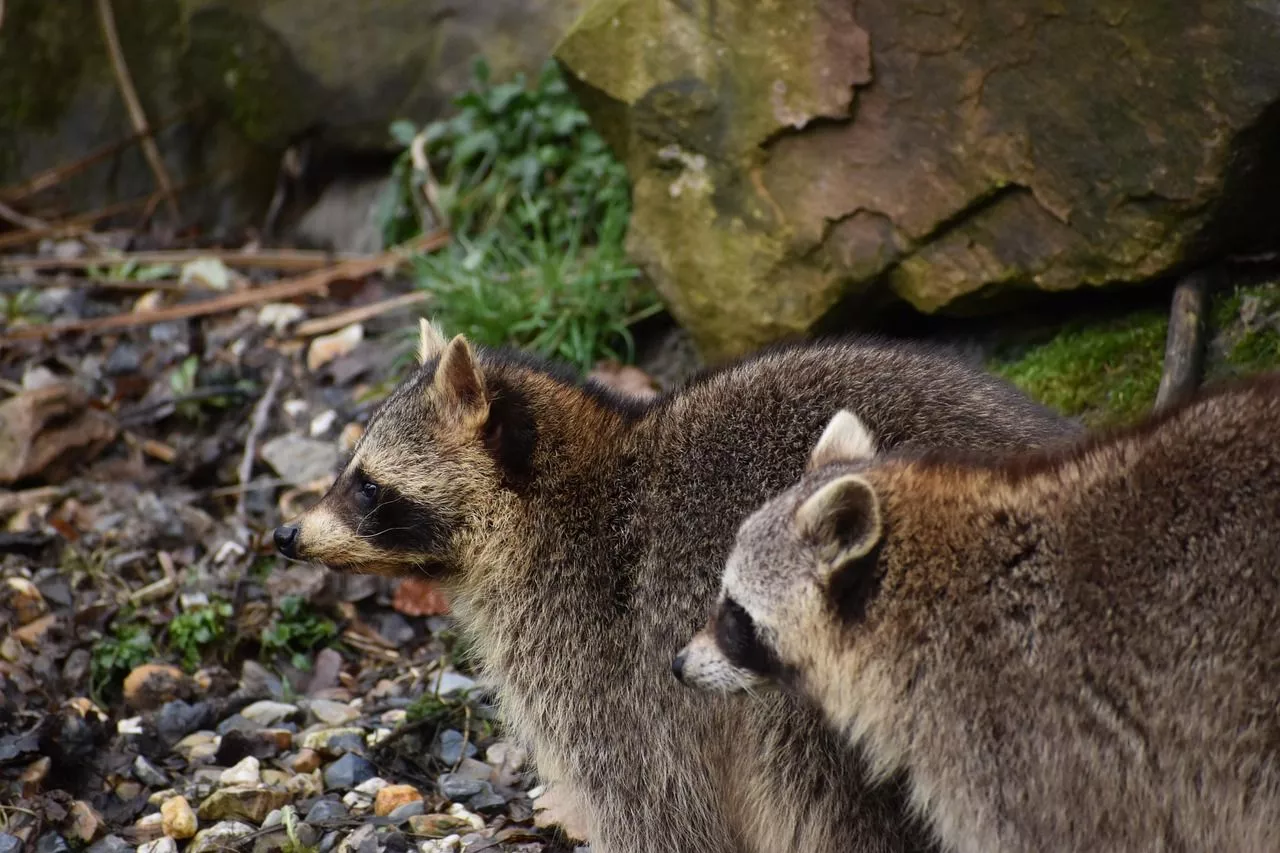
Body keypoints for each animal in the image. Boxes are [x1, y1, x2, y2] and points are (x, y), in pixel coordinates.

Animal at [275, 319, 1079, 853]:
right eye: (349, 470)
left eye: (368, 488)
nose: (285, 535)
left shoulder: (606, 650)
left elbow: (656, 805)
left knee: (815, 785)